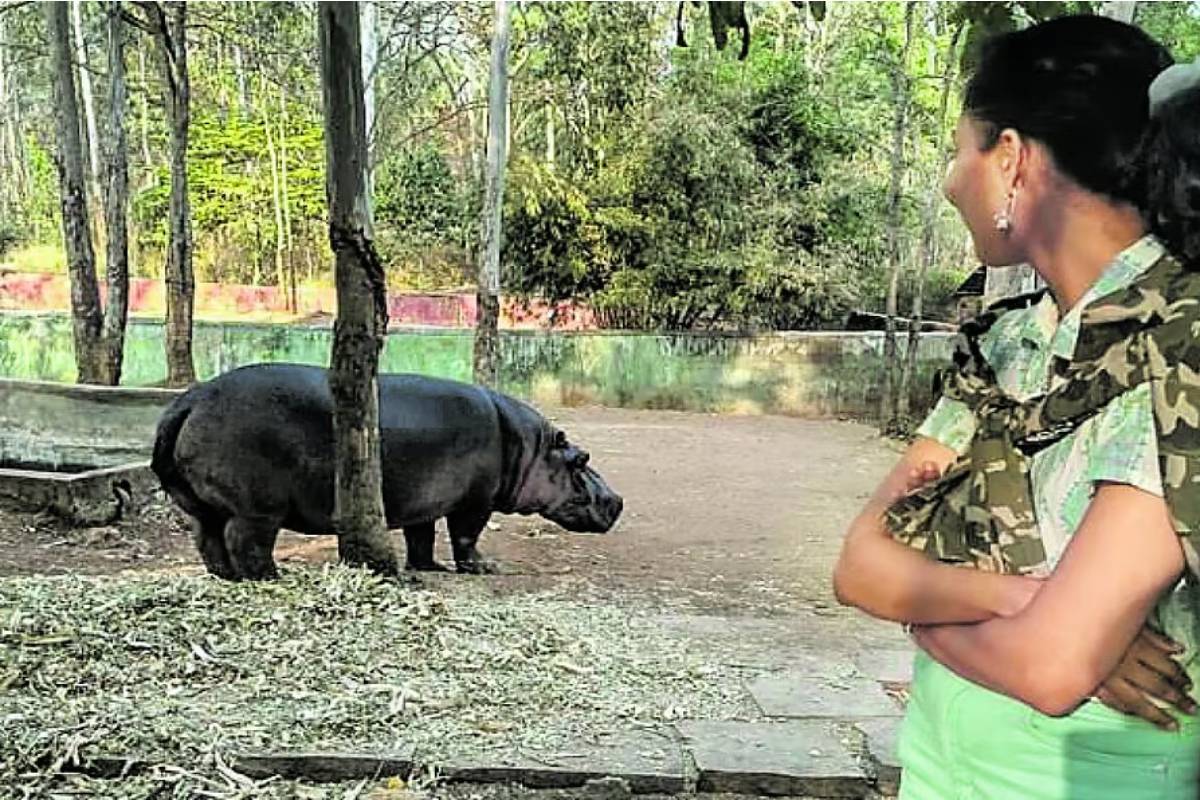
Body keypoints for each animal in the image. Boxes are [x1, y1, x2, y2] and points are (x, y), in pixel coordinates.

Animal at [151, 363, 623, 580]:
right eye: (582, 460)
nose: (617, 500)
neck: (530, 447)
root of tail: (189, 400)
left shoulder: (427, 500)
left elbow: (422, 537)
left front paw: (429, 569)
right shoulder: (476, 501)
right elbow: (466, 536)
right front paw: (483, 568)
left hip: (203, 505)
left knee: (208, 538)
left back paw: (226, 576)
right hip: (258, 508)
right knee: (245, 540)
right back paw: (271, 577)